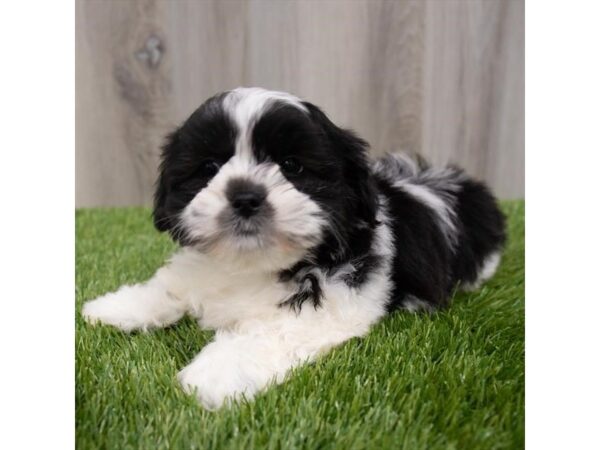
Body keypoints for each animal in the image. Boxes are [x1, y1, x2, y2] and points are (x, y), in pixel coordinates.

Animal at [83, 86, 506, 410]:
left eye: (291, 166)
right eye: (208, 167)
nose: (245, 196)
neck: (255, 264)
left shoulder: (333, 305)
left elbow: (270, 332)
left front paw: (214, 373)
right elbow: (173, 284)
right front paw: (118, 306)